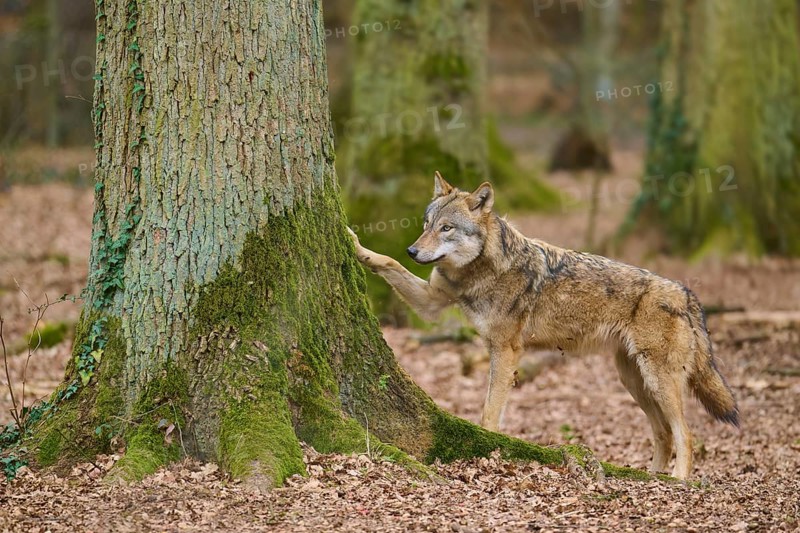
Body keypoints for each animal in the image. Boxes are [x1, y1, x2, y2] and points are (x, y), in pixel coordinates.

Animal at [348, 172, 739, 479]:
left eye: (447, 228)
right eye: (426, 225)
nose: (414, 251)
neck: (477, 271)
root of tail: (685, 293)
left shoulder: (505, 350)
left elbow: (489, 411)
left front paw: (489, 448)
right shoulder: (431, 303)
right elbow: (388, 263)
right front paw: (356, 245)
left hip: (658, 382)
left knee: (685, 434)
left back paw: (679, 481)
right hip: (635, 382)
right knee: (663, 434)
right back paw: (655, 477)